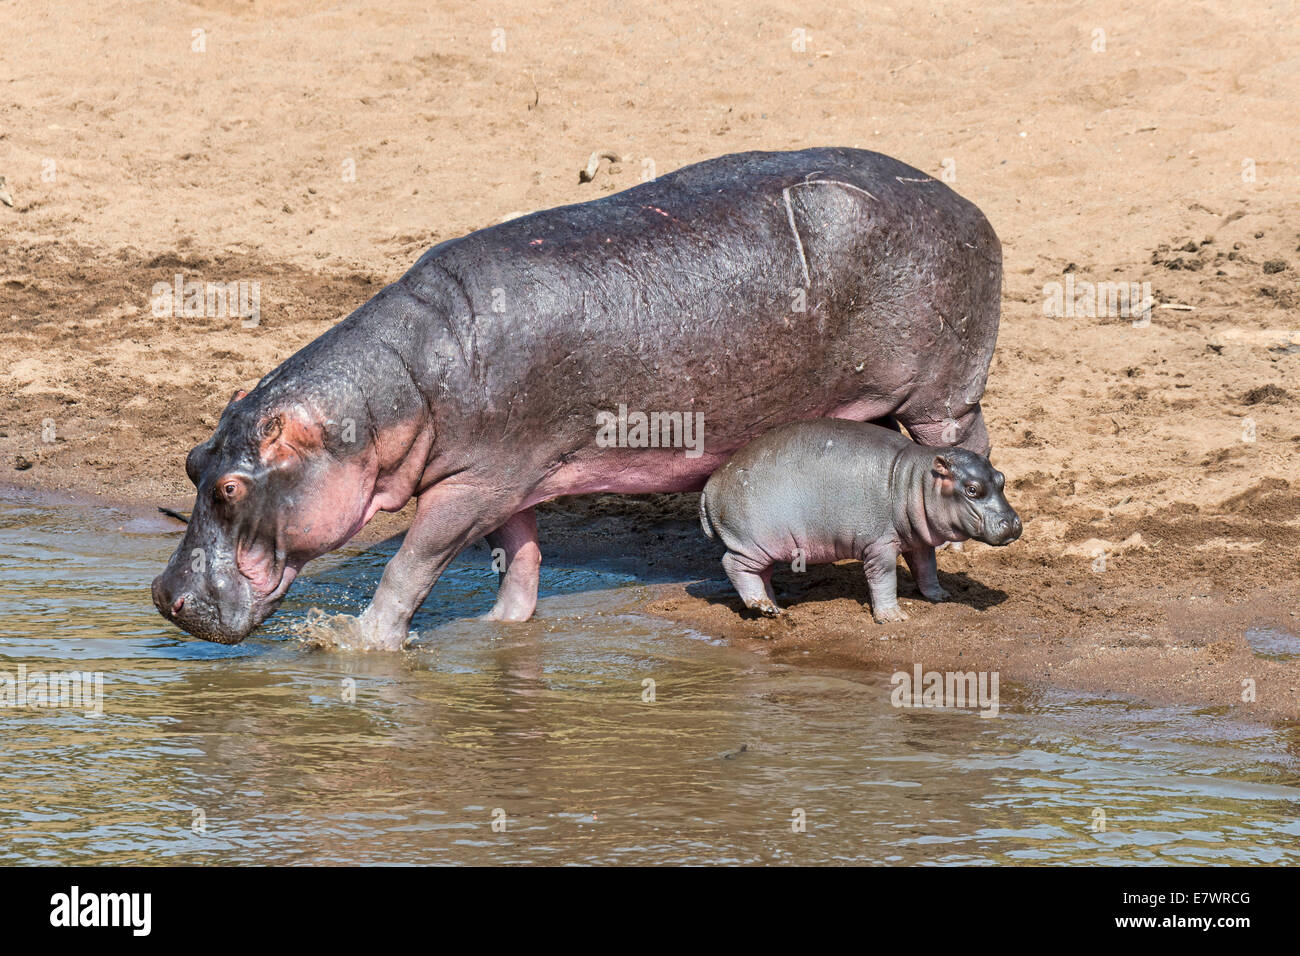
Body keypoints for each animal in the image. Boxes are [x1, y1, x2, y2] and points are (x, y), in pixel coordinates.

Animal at [696, 418, 1019, 621]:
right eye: (972, 489)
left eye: (1002, 478)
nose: (1014, 523)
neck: (914, 481)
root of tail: (710, 484)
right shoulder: (879, 546)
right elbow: (884, 578)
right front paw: (894, 618)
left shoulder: (918, 541)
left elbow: (927, 568)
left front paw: (941, 596)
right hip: (751, 543)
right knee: (734, 565)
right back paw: (760, 604)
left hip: (766, 546)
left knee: (760, 574)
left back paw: (774, 608)